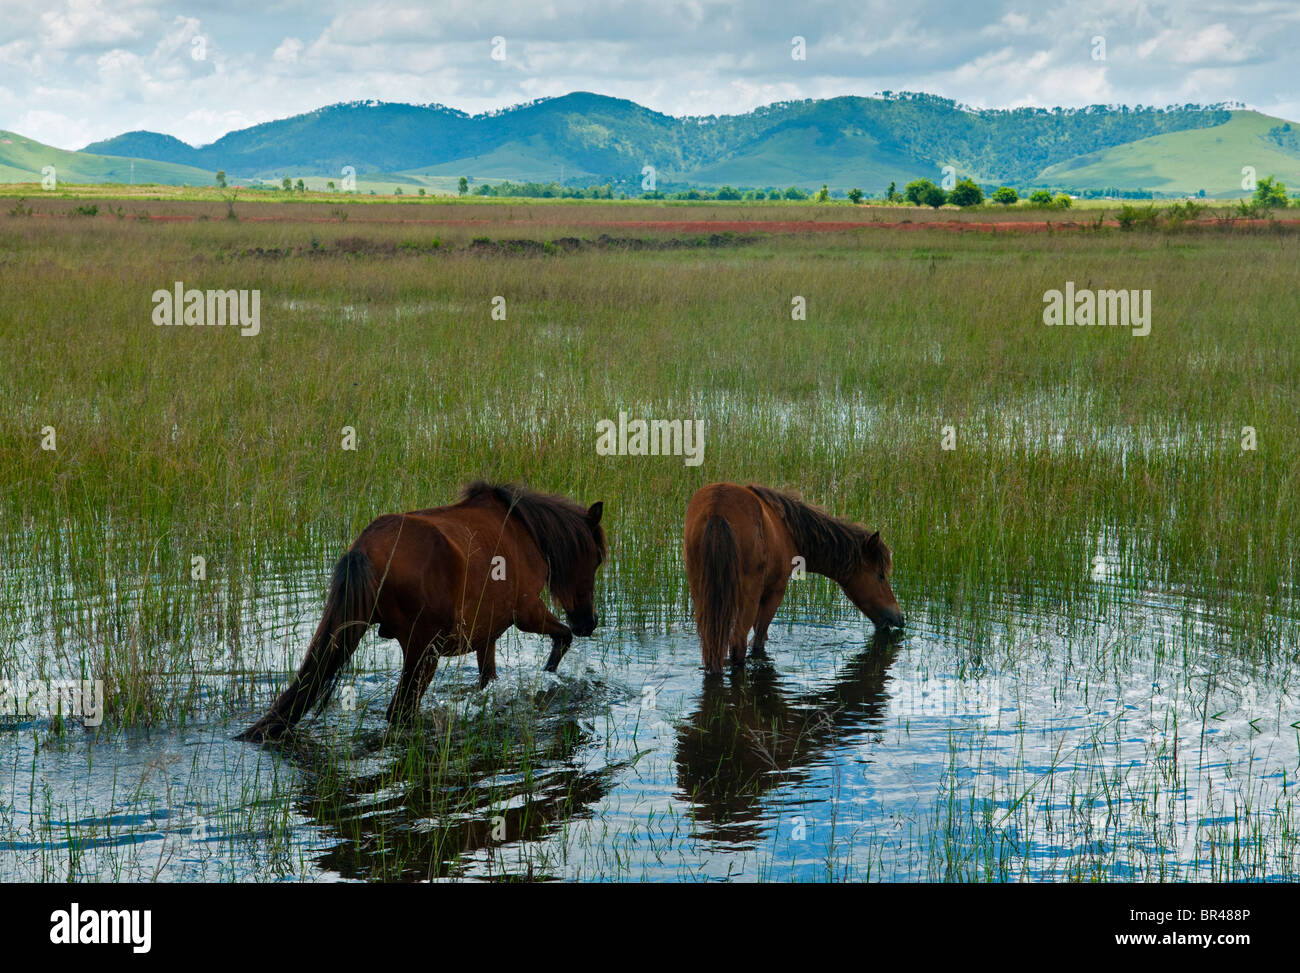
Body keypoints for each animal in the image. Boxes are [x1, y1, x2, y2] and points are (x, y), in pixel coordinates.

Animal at [237, 481, 605, 742]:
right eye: (597, 559)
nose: (589, 622)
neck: (526, 532)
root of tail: (363, 549)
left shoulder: (486, 636)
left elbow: (488, 681)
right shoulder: (527, 613)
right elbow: (562, 639)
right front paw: (549, 676)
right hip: (423, 648)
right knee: (400, 711)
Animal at [682, 482, 902, 673]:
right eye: (880, 575)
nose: (899, 617)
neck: (788, 529)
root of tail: (717, 509)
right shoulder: (774, 592)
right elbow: (759, 641)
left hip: (702, 594)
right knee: (738, 644)